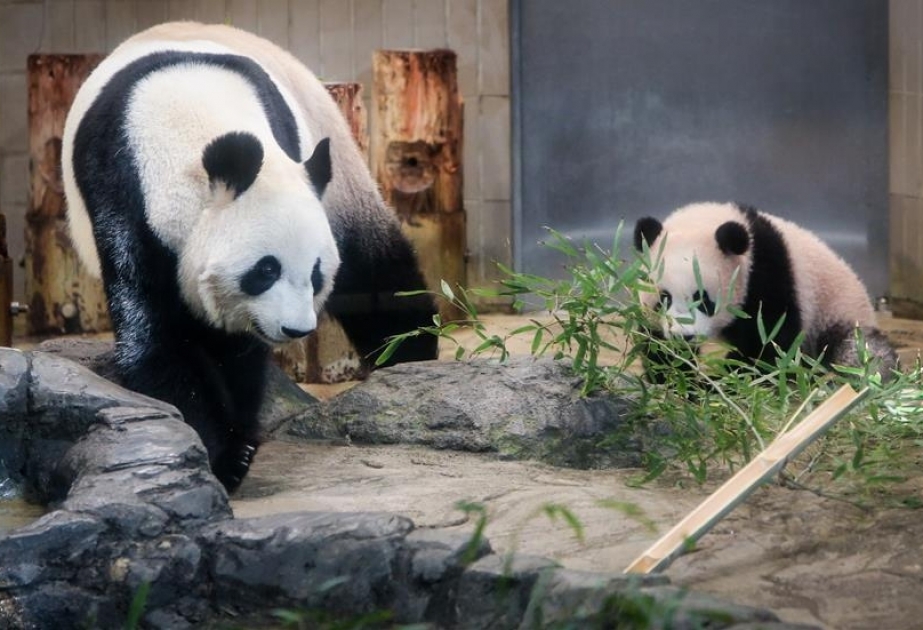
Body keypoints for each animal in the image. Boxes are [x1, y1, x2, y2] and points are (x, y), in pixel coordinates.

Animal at [62, 22, 437, 491]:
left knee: (376, 272)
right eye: (266, 270)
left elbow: (240, 351)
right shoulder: (121, 197)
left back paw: (412, 352)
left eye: (316, 274)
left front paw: (237, 441)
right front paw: (223, 451)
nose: (296, 329)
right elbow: (157, 333)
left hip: (336, 166)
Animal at [633, 201, 897, 380]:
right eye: (664, 299)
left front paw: (726, 381)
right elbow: (655, 343)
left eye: (704, 300)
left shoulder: (767, 276)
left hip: (836, 315)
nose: (683, 336)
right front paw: (676, 378)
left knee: (860, 353)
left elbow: (769, 344)